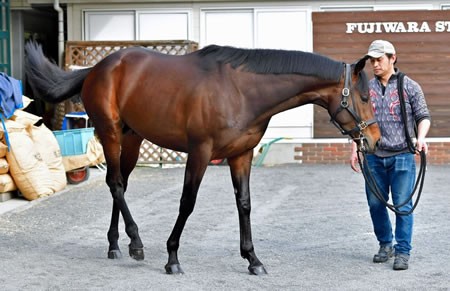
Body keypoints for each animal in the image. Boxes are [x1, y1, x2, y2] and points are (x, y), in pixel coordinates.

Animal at [24, 42, 380, 276]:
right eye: (364, 96)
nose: (374, 140)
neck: (241, 91)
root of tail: (98, 68)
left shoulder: (241, 155)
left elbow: (244, 204)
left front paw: (253, 259)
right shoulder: (200, 153)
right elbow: (187, 202)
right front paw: (172, 258)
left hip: (133, 138)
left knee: (119, 184)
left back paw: (116, 245)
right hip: (110, 132)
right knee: (115, 184)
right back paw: (136, 242)